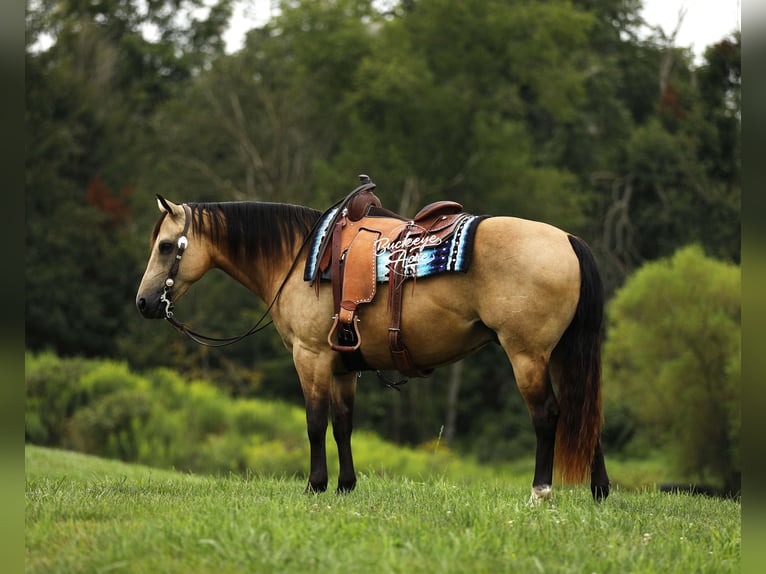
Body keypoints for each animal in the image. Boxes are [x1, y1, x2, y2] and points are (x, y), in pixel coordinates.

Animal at [135, 194, 610, 502]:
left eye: (166, 246)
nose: (143, 302)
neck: (300, 258)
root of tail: (568, 240)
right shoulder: (345, 367)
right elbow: (343, 425)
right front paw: (345, 487)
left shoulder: (310, 358)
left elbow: (314, 423)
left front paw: (315, 485)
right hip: (562, 355)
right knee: (581, 412)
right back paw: (600, 491)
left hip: (527, 355)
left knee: (548, 415)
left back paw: (540, 491)